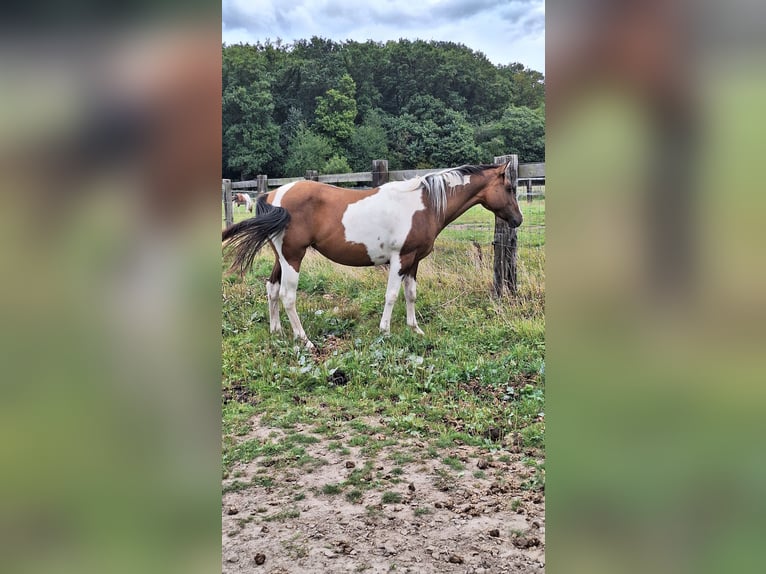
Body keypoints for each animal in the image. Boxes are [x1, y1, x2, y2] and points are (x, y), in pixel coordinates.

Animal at [222, 162, 523, 349]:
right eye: (510, 188)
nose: (518, 220)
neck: (424, 204)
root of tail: (273, 195)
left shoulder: (413, 261)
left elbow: (411, 294)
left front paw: (415, 329)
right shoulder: (400, 259)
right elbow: (392, 295)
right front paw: (385, 331)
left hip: (281, 258)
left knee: (271, 289)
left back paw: (277, 332)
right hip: (293, 258)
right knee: (287, 296)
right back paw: (304, 339)